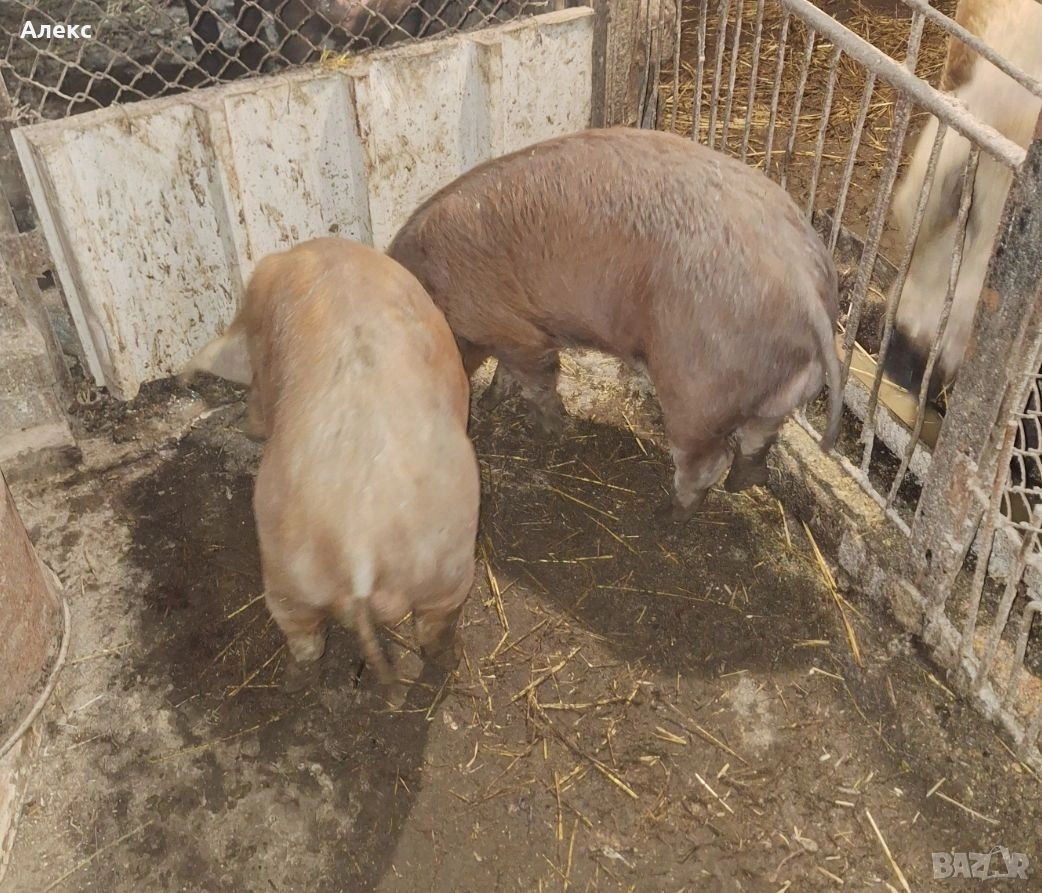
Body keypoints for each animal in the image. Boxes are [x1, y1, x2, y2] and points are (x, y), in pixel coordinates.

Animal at [180, 238, 481, 686]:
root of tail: (360, 540)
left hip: (291, 570)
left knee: (305, 634)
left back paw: (296, 677)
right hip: (443, 560)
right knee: (428, 625)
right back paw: (448, 660)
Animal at [387, 127, 843, 521]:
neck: (435, 295)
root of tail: (804, 281)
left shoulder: (510, 328)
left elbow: (538, 379)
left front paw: (552, 430)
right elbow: (509, 373)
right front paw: (490, 402)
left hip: (698, 386)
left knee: (707, 458)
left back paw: (665, 516)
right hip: (783, 386)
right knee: (759, 436)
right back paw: (742, 483)